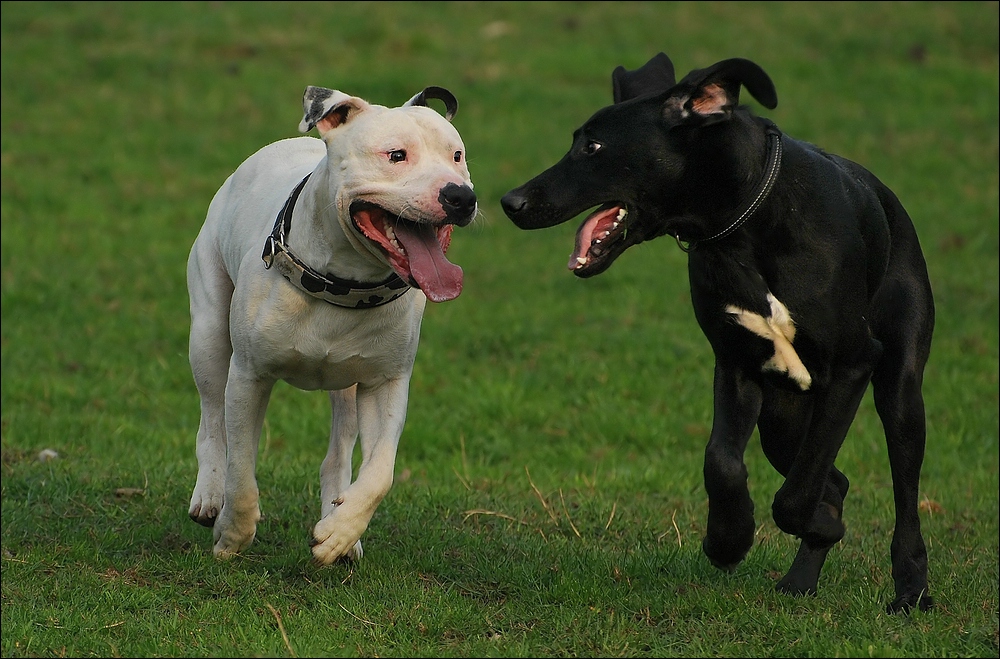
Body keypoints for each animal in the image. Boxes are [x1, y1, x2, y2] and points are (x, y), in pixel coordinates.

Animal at [187, 85, 476, 564]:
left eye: (457, 155)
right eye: (396, 155)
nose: (461, 196)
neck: (343, 284)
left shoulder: (386, 385)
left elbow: (380, 473)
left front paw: (339, 532)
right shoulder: (249, 376)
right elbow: (241, 468)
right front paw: (232, 535)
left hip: (348, 387)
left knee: (339, 456)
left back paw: (341, 527)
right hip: (208, 334)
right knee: (211, 421)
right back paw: (209, 495)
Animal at [504, 52, 932, 612]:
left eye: (592, 146)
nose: (511, 201)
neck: (745, 224)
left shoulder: (852, 364)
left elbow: (795, 495)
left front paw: (802, 525)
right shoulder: (736, 364)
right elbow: (722, 462)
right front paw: (728, 539)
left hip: (898, 385)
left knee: (901, 489)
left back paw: (911, 588)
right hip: (783, 417)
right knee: (832, 481)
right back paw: (801, 578)